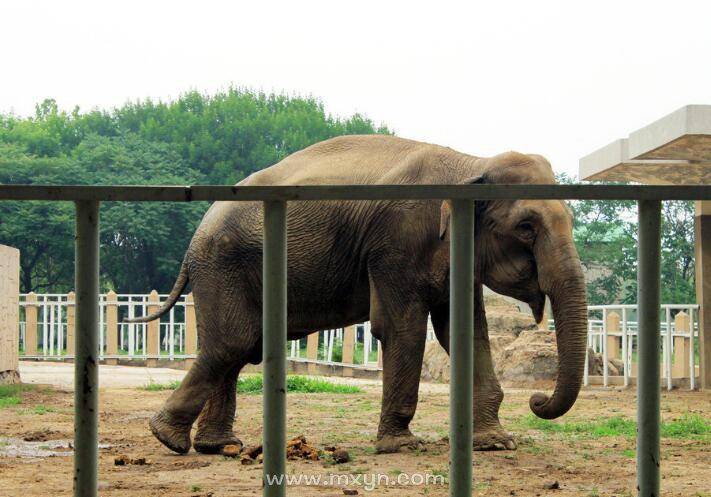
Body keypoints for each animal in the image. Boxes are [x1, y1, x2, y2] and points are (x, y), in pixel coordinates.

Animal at [128, 134, 588, 455]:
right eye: (526, 227)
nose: (537, 399)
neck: (472, 161)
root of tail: (195, 237)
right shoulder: (395, 244)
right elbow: (403, 328)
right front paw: (401, 446)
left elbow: (465, 332)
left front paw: (496, 443)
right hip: (223, 266)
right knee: (233, 344)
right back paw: (169, 439)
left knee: (235, 349)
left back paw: (217, 447)